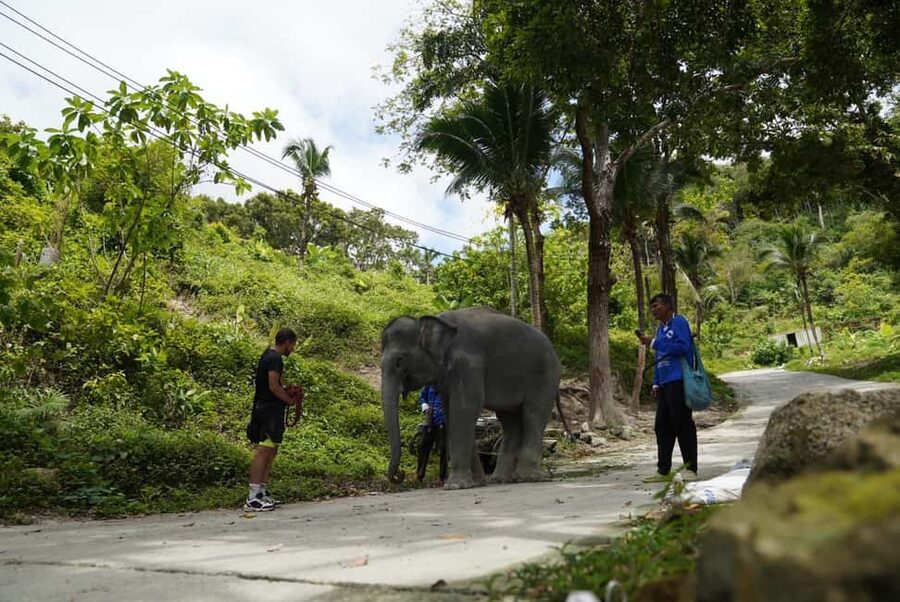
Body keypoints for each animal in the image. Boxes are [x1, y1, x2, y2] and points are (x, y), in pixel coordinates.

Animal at [381, 307, 562, 490]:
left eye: (399, 361)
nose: (401, 474)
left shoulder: (467, 364)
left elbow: (464, 409)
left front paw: (455, 485)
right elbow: (450, 413)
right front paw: (476, 482)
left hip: (546, 376)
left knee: (533, 415)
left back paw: (526, 477)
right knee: (510, 421)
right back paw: (500, 479)